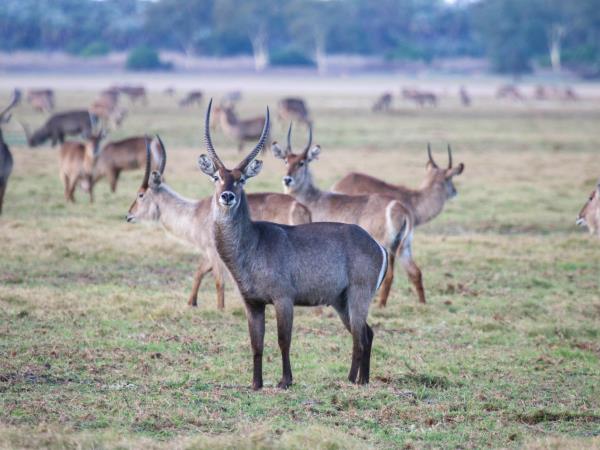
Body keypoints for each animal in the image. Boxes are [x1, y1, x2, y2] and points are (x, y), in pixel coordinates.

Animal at [125, 136, 312, 310]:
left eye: (140, 194)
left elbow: (218, 281)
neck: (194, 212)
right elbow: (199, 271)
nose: (128, 215)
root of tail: (300, 206)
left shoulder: (213, 252)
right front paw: (191, 303)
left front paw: (220, 309)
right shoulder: (211, 255)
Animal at [196, 100, 384, 388]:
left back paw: (354, 381)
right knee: (366, 332)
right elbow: (256, 343)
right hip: (341, 300)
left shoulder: (283, 298)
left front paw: (285, 381)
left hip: (359, 294)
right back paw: (358, 379)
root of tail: (377, 245)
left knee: (360, 337)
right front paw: (256, 384)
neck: (252, 244)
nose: (227, 196)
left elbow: (283, 340)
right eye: (216, 177)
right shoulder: (252, 303)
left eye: (242, 179)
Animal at [274, 123, 424, 306]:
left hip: (385, 246)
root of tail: (400, 207)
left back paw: (381, 305)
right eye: (286, 161)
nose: (287, 179)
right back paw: (422, 303)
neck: (312, 198)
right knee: (415, 271)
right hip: (404, 246)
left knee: (390, 274)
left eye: (302, 162)